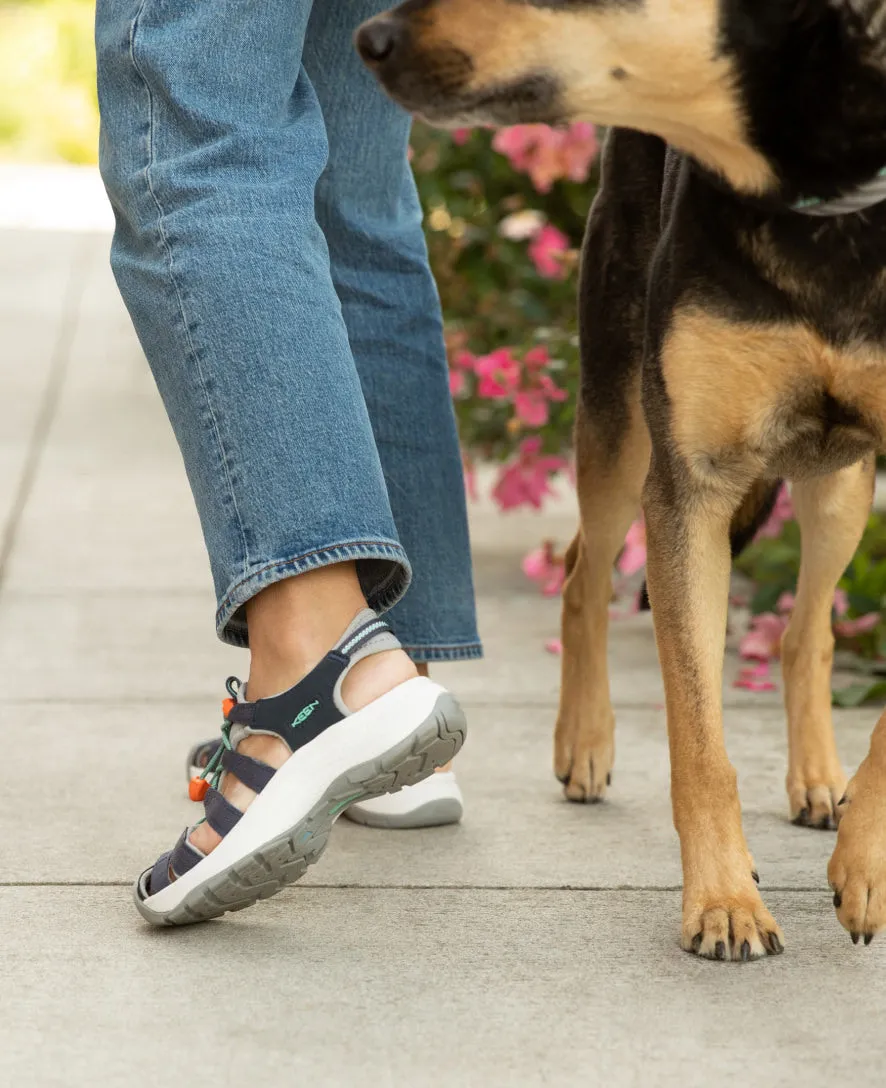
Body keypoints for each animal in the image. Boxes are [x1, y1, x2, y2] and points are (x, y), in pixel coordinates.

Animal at [357, 0, 886, 961]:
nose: (368, 40)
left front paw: (865, 865)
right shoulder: (688, 486)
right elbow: (699, 738)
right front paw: (723, 901)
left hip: (841, 485)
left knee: (808, 631)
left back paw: (821, 779)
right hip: (620, 418)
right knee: (584, 573)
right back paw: (587, 741)